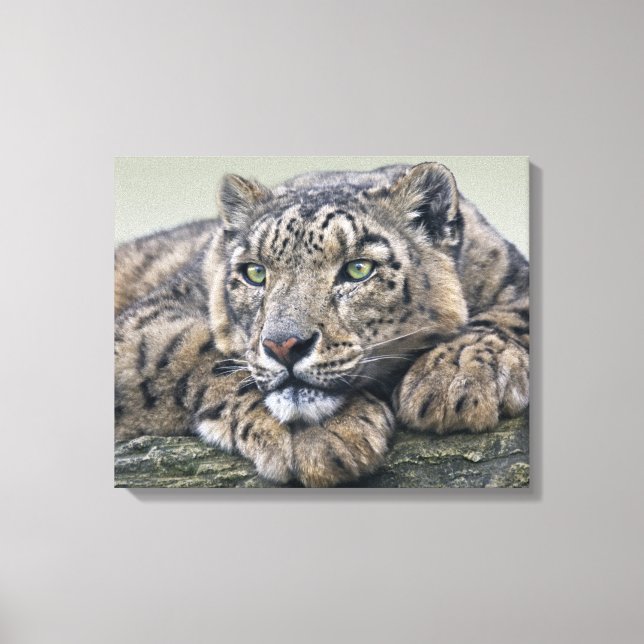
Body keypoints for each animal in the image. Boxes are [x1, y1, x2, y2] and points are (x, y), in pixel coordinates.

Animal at [114, 162, 529, 487]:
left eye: (358, 268)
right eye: (255, 273)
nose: (284, 345)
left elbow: (519, 309)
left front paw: (454, 378)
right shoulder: (142, 323)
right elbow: (189, 349)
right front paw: (323, 435)